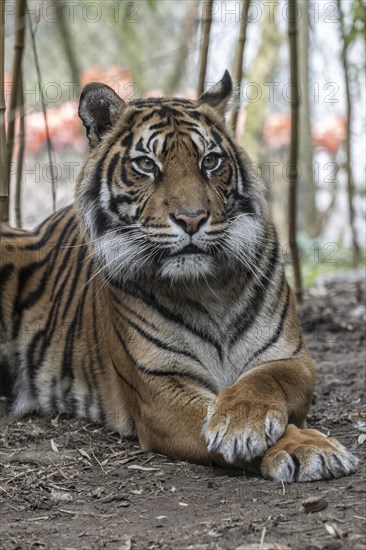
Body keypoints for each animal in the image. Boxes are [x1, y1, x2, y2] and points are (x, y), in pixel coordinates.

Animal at [0, 72, 358, 484]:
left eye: (210, 161)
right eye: (146, 164)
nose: (192, 219)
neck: (206, 287)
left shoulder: (291, 358)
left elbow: (260, 383)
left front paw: (246, 421)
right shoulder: (158, 386)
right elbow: (208, 414)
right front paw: (297, 444)